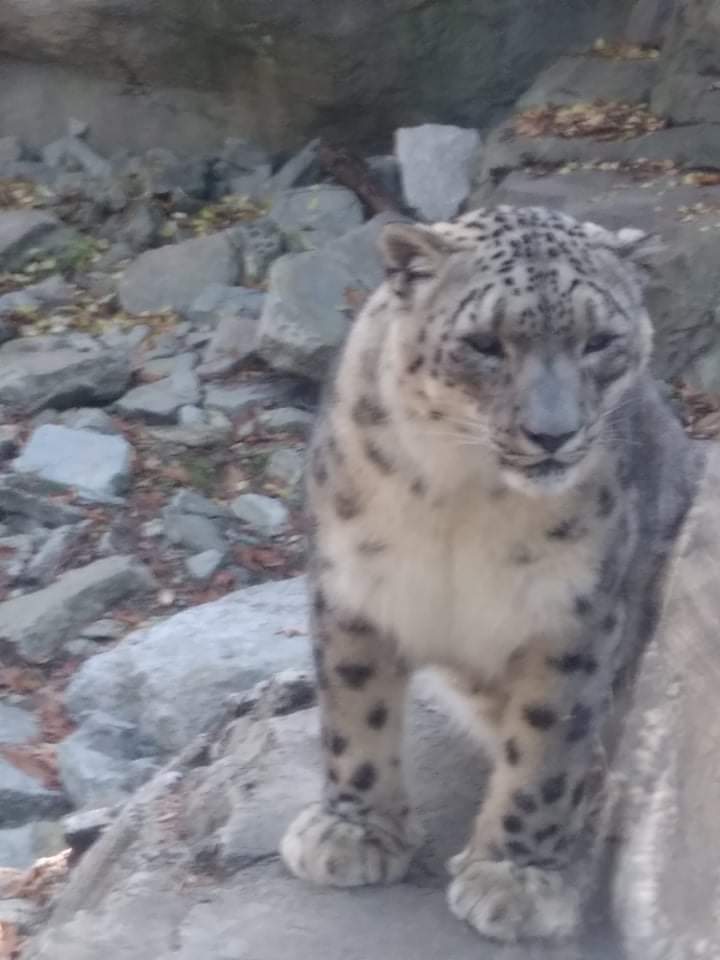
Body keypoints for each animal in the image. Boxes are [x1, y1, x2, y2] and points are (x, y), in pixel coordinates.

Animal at [279, 204, 701, 943]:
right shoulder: (352, 585)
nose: (552, 434)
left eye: (599, 340)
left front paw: (515, 878)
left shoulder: (574, 618)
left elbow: (545, 748)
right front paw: (353, 830)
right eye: (484, 343)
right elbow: (353, 708)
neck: (461, 495)